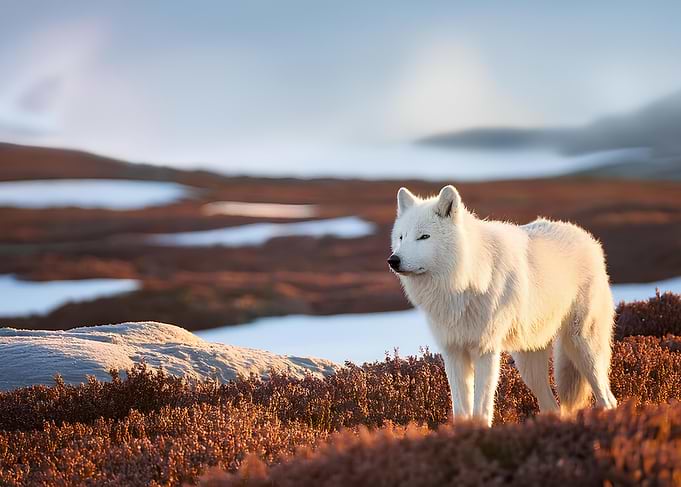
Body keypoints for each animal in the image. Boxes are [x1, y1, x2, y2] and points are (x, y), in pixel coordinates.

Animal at [388, 185, 617, 426]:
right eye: (401, 237)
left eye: (424, 236)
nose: (393, 260)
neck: (463, 283)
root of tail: (588, 239)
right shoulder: (453, 352)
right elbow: (461, 410)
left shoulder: (485, 351)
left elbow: (481, 410)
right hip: (529, 365)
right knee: (552, 406)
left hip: (583, 347)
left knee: (607, 399)